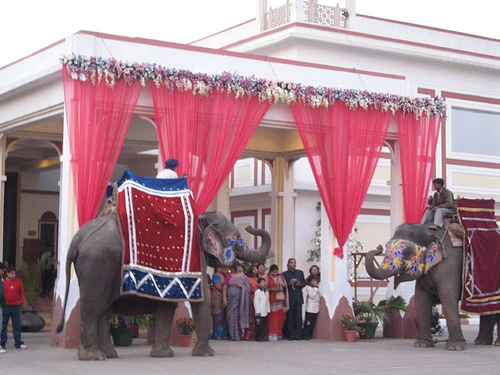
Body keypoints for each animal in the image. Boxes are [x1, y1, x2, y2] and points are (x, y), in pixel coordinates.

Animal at [55, 210, 270, 360]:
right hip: (98, 263)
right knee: (93, 307)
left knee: (102, 308)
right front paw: (206, 354)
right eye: (238, 239)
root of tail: (77, 240)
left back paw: (108, 355)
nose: (250, 227)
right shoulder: (194, 258)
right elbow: (200, 299)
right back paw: (93, 357)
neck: (201, 217)